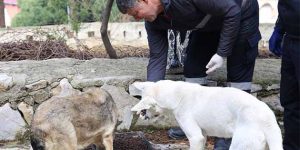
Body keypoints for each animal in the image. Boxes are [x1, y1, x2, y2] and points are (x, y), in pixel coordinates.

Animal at [130, 80, 282, 150]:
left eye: (143, 108)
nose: (141, 115)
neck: (176, 95)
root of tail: (267, 119)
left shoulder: (196, 138)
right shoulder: (202, 136)